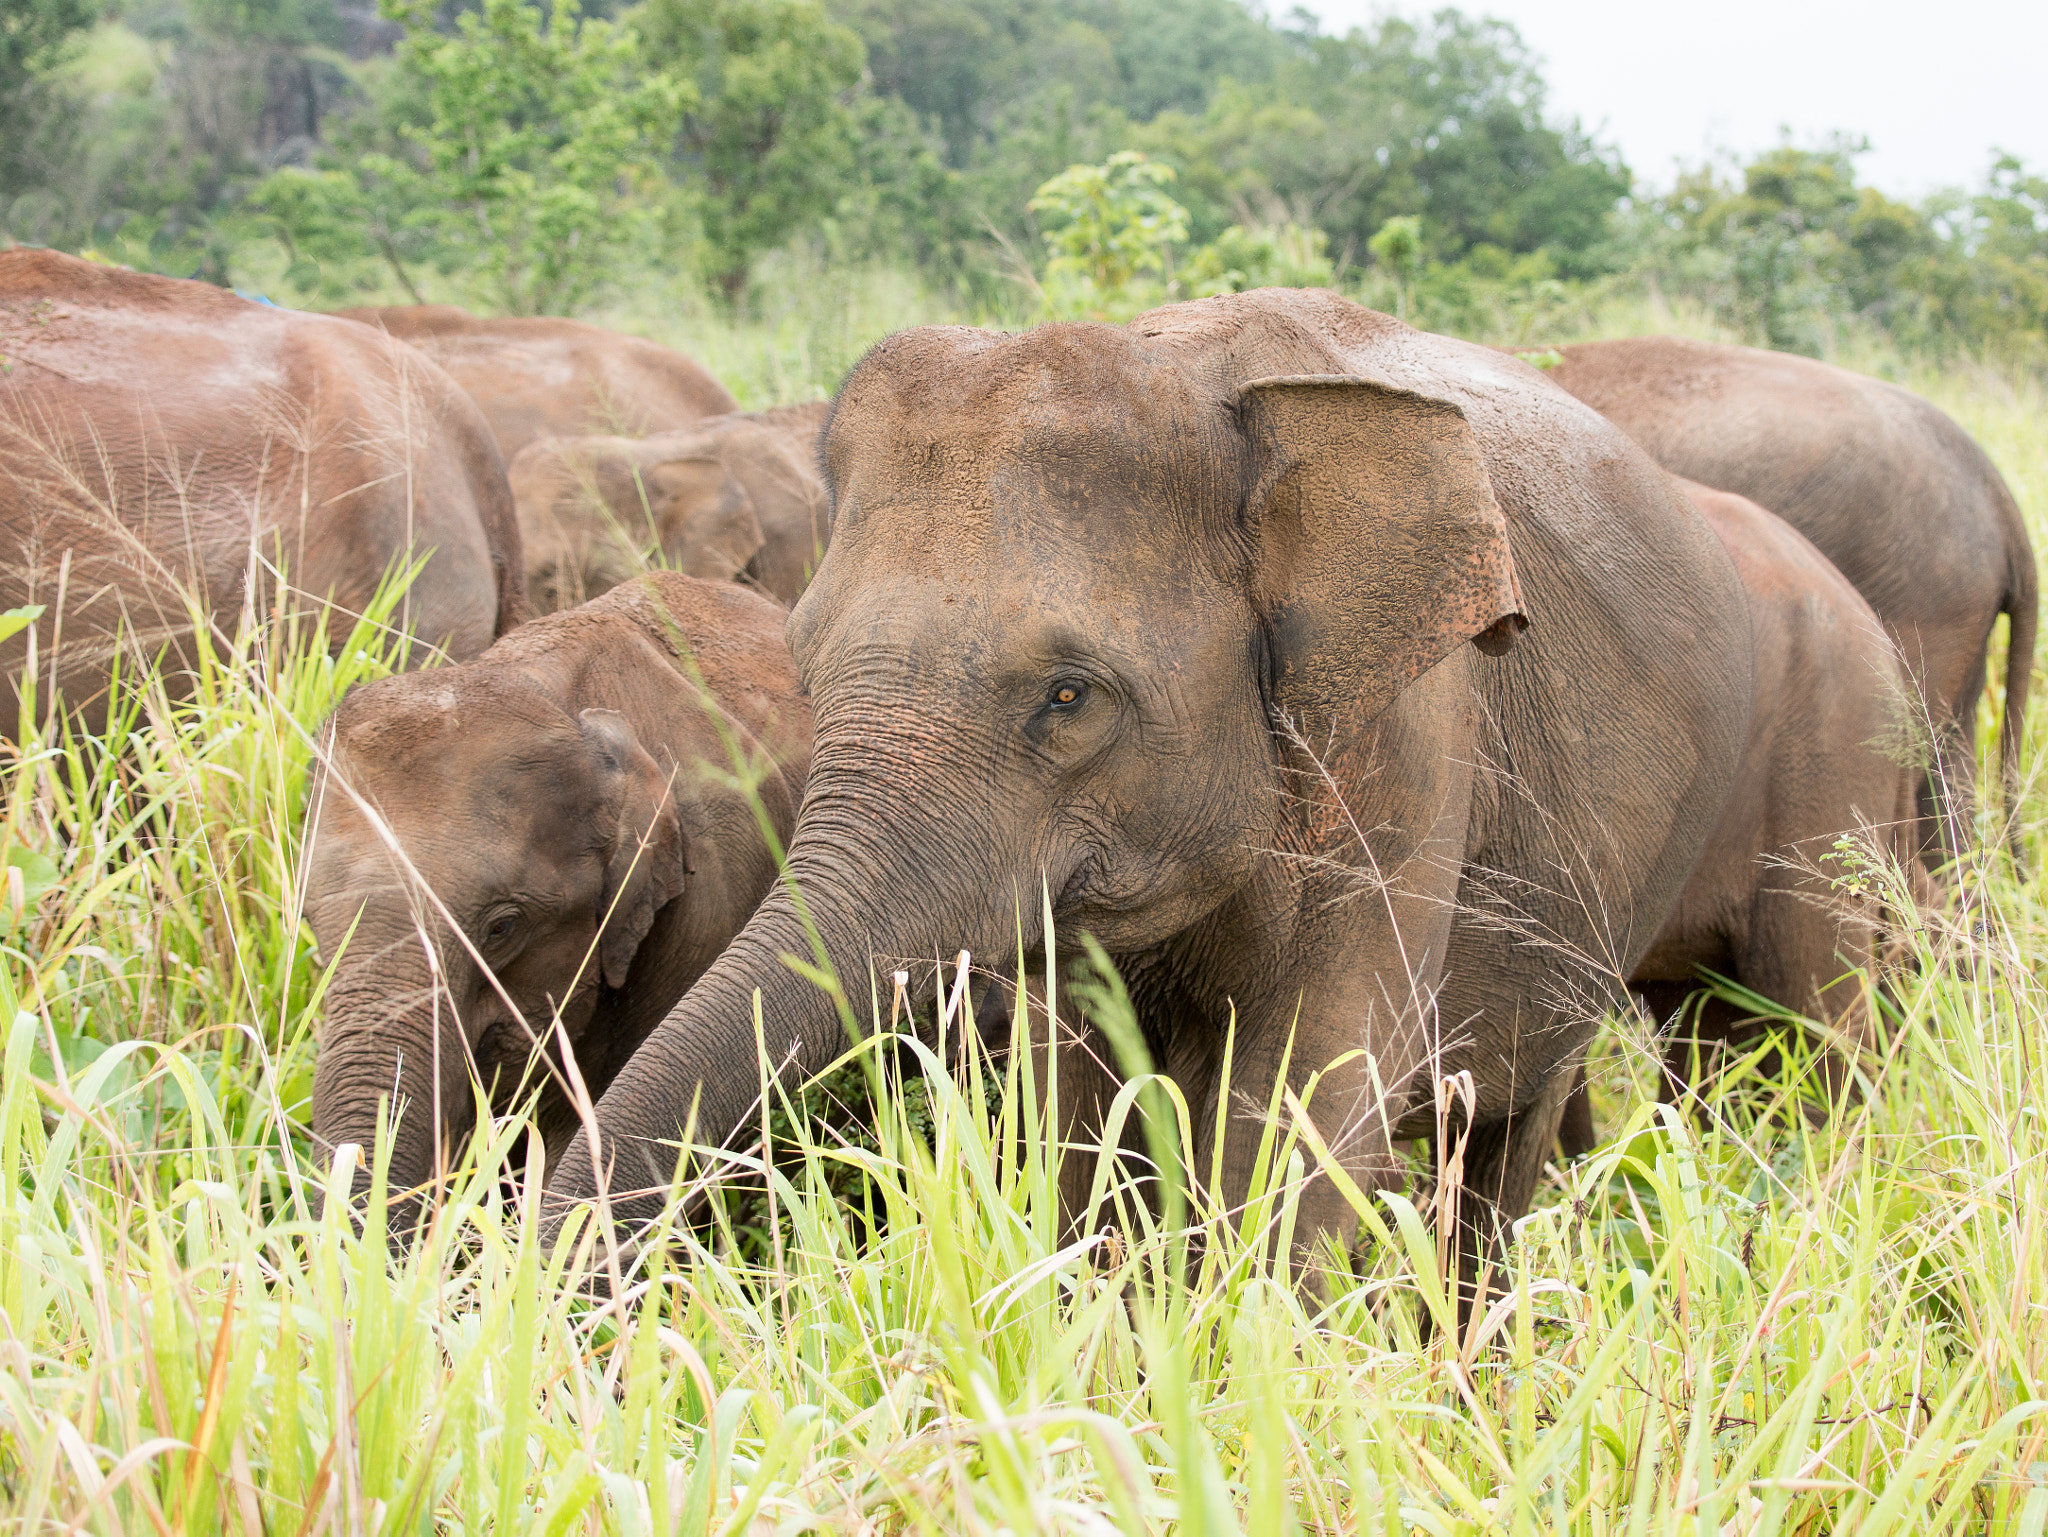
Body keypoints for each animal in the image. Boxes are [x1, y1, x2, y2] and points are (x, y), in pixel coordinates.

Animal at [540, 288, 1754, 1286]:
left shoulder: (1406, 741)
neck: (1190, 363)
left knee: (1500, 1154)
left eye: (1069, 695)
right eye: (804, 668)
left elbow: (1298, 1125)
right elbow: (1076, 1120)